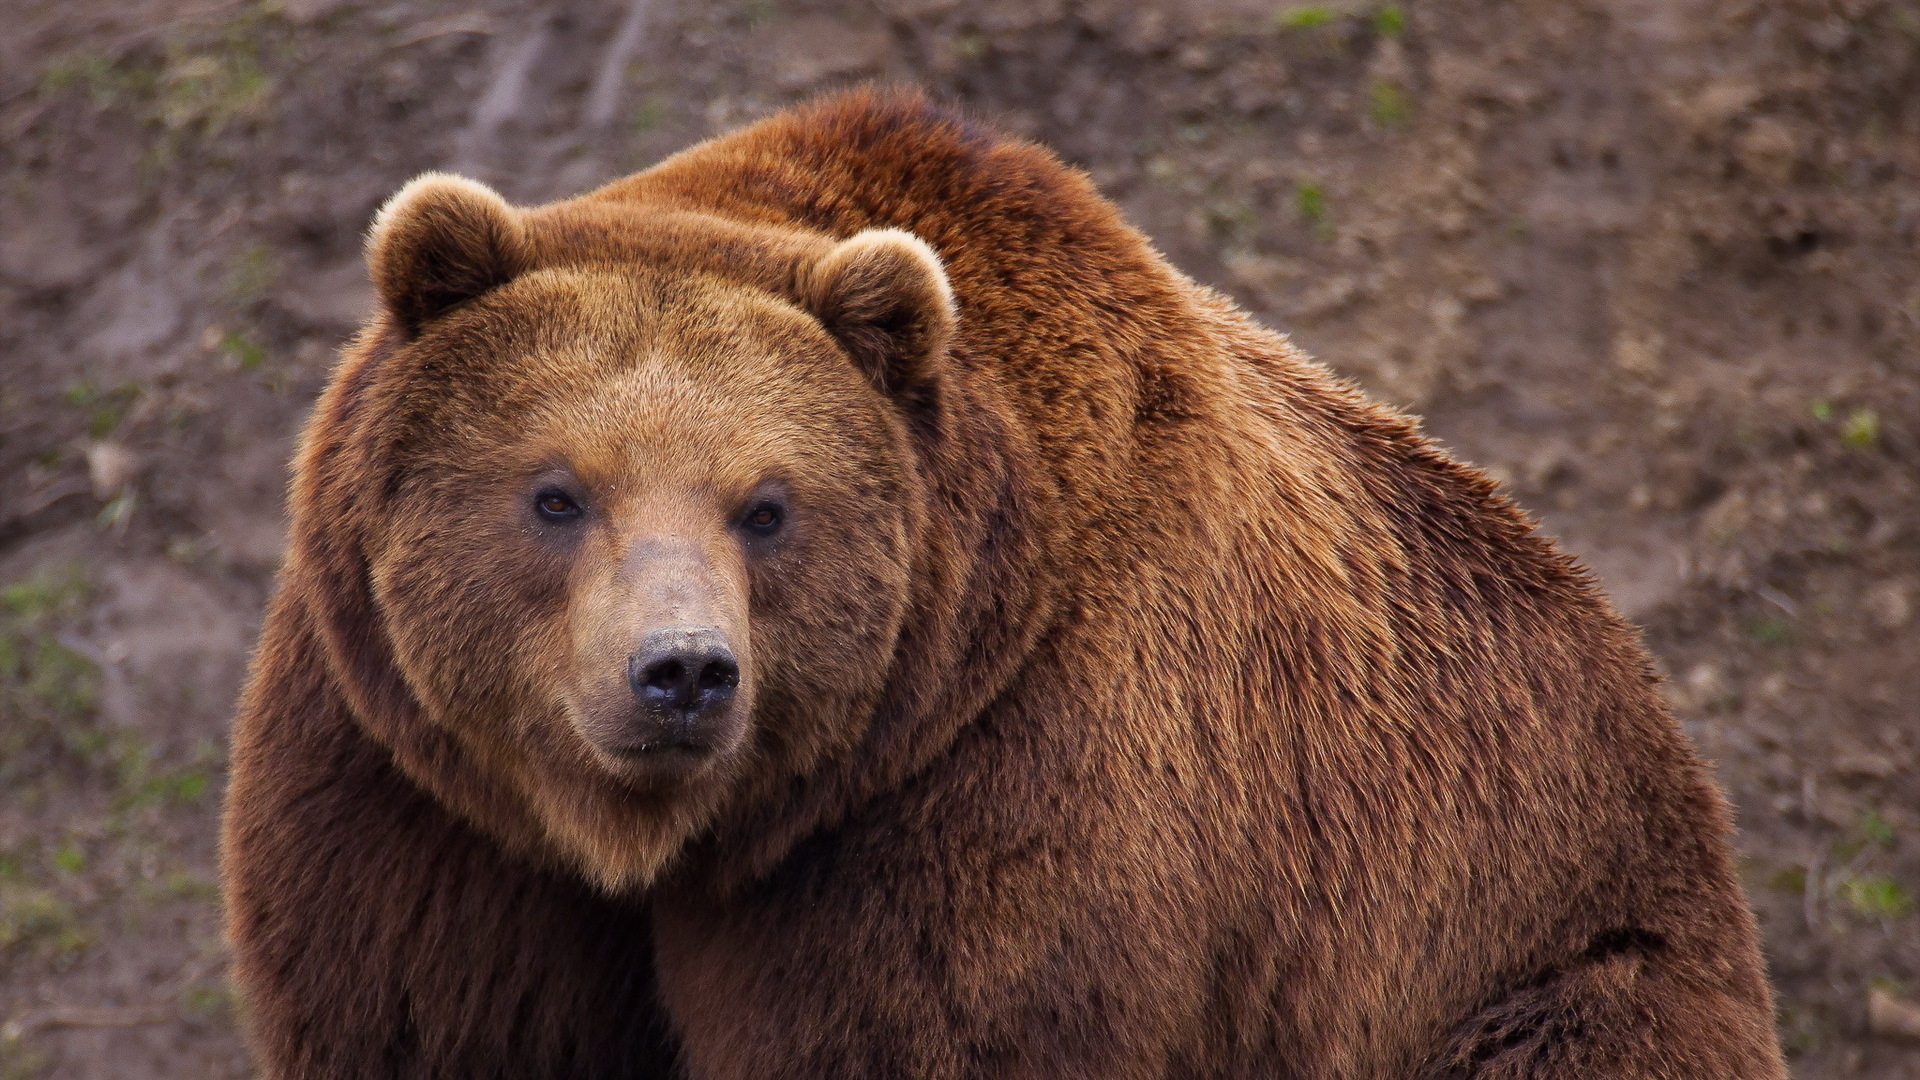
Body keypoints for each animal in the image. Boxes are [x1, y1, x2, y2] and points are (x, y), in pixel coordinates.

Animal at [220, 88, 1781, 1068]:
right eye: (556, 493)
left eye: (766, 507)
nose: (681, 674)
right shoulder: (421, 798)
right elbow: (430, 1015)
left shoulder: (1002, 790)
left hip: (1519, 947)